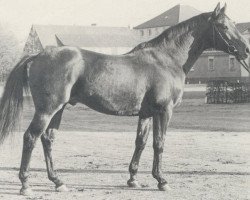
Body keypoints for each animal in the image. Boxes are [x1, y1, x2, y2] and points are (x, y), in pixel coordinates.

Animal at [0, 2, 250, 195]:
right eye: (223, 26)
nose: (246, 50)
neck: (165, 60)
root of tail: (38, 54)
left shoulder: (146, 113)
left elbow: (141, 142)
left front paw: (133, 179)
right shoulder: (164, 111)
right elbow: (159, 143)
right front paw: (162, 181)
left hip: (58, 109)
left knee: (48, 139)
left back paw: (58, 182)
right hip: (47, 109)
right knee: (31, 137)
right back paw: (25, 184)